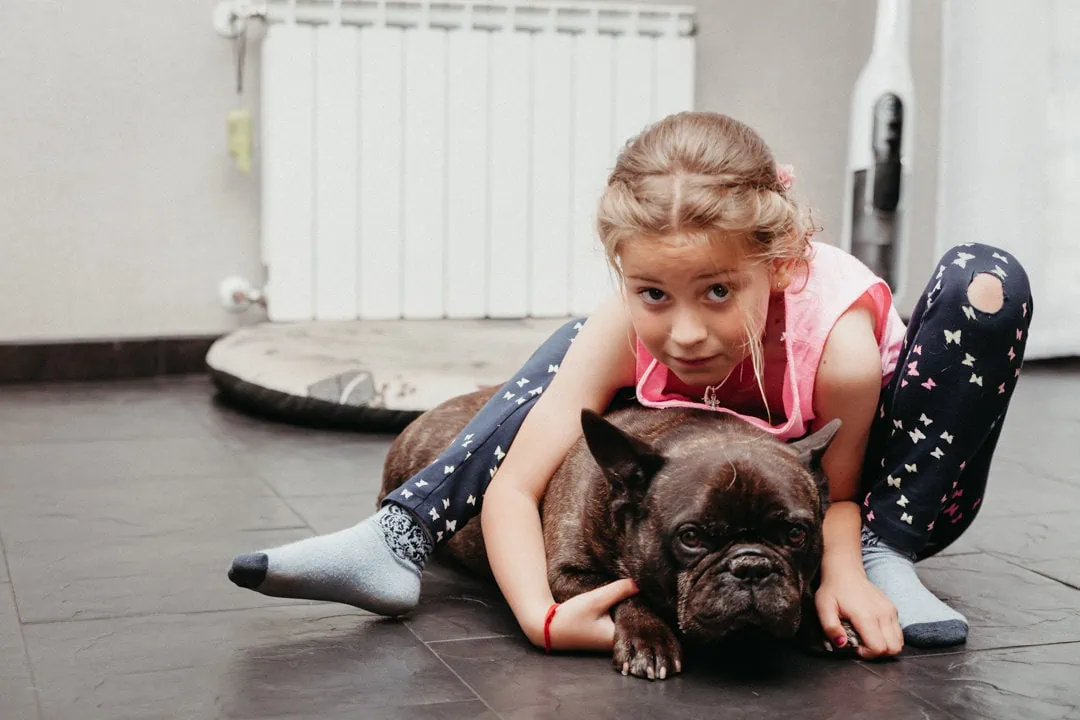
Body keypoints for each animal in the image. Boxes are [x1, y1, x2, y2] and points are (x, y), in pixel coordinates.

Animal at [379, 388, 857, 679]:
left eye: (796, 535)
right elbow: (623, 592)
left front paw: (819, 620)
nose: (752, 566)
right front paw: (649, 642)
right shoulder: (567, 574)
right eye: (691, 537)